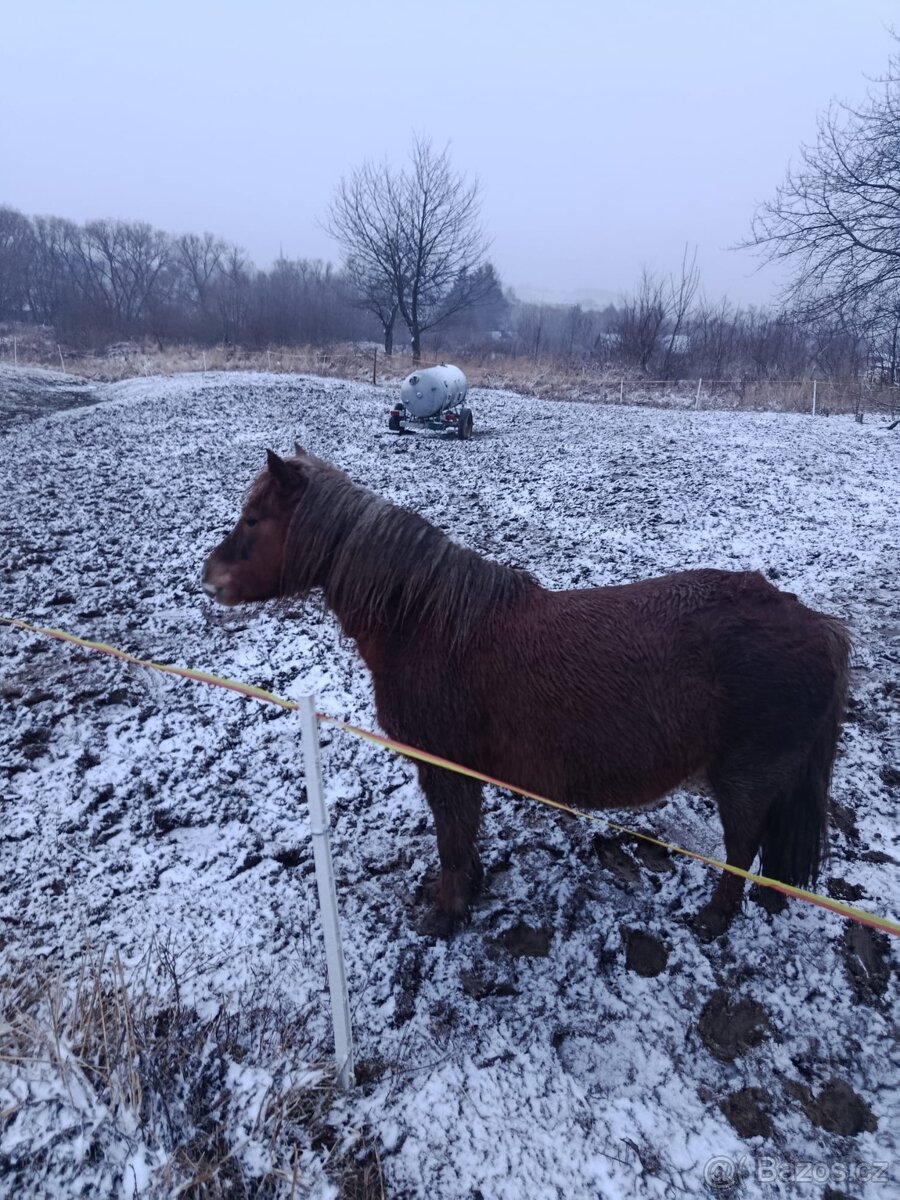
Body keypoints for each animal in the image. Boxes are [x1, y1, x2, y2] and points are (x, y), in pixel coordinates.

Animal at [202, 446, 850, 940]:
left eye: (254, 519)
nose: (210, 579)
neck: (426, 624)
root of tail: (812, 623)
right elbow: (463, 834)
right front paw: (469, 888)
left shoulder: (443, 765)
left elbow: (452, 835)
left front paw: (447, 913)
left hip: (743, 780)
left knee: (741, 848)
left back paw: (714, 919)